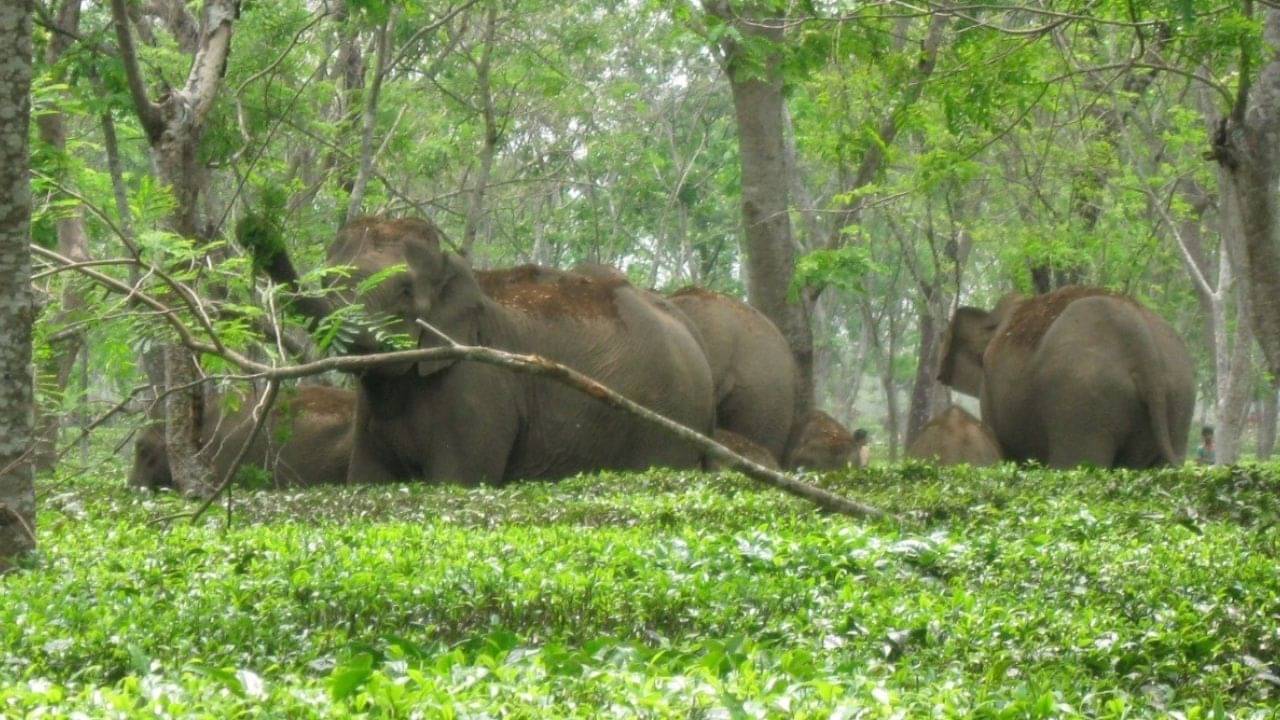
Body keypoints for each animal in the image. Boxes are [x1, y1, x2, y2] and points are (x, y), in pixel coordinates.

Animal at [243, 216, 715, 484]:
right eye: (327, 280)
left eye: (405, 290)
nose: (255, 232)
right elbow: (366, 480)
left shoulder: (477, 387)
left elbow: (459, 479)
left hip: (666, 421)